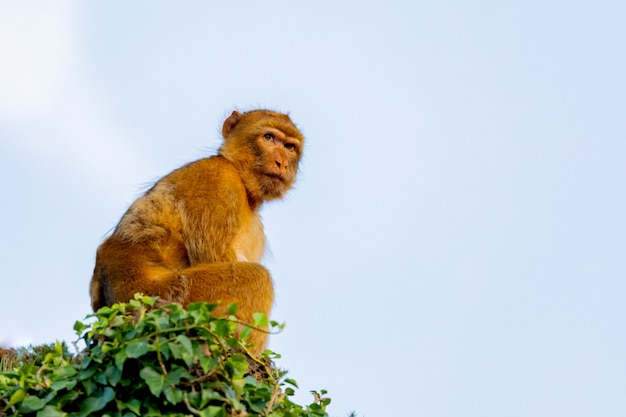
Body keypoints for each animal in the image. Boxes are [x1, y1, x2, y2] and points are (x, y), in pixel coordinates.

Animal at [90, 109, 302, 352]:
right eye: (268, 138)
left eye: (289, 147)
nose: (281, 163)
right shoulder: (217, 179)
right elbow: (214, 257)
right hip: (167, 299)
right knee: (257, 278)